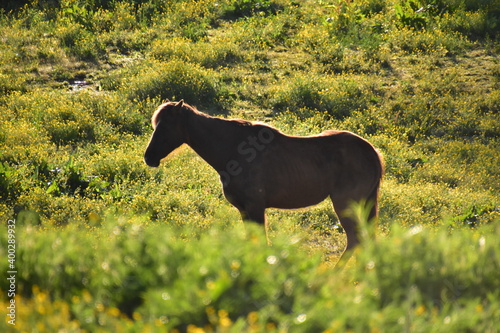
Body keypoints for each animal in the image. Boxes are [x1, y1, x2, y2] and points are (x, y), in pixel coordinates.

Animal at [144, 100, 382, 260]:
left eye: (165, 127)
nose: (149, 157)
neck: (234, 151)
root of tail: (372, 153)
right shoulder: (244, 210)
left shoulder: (256, 207)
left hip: (346, 205)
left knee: (355, 241)